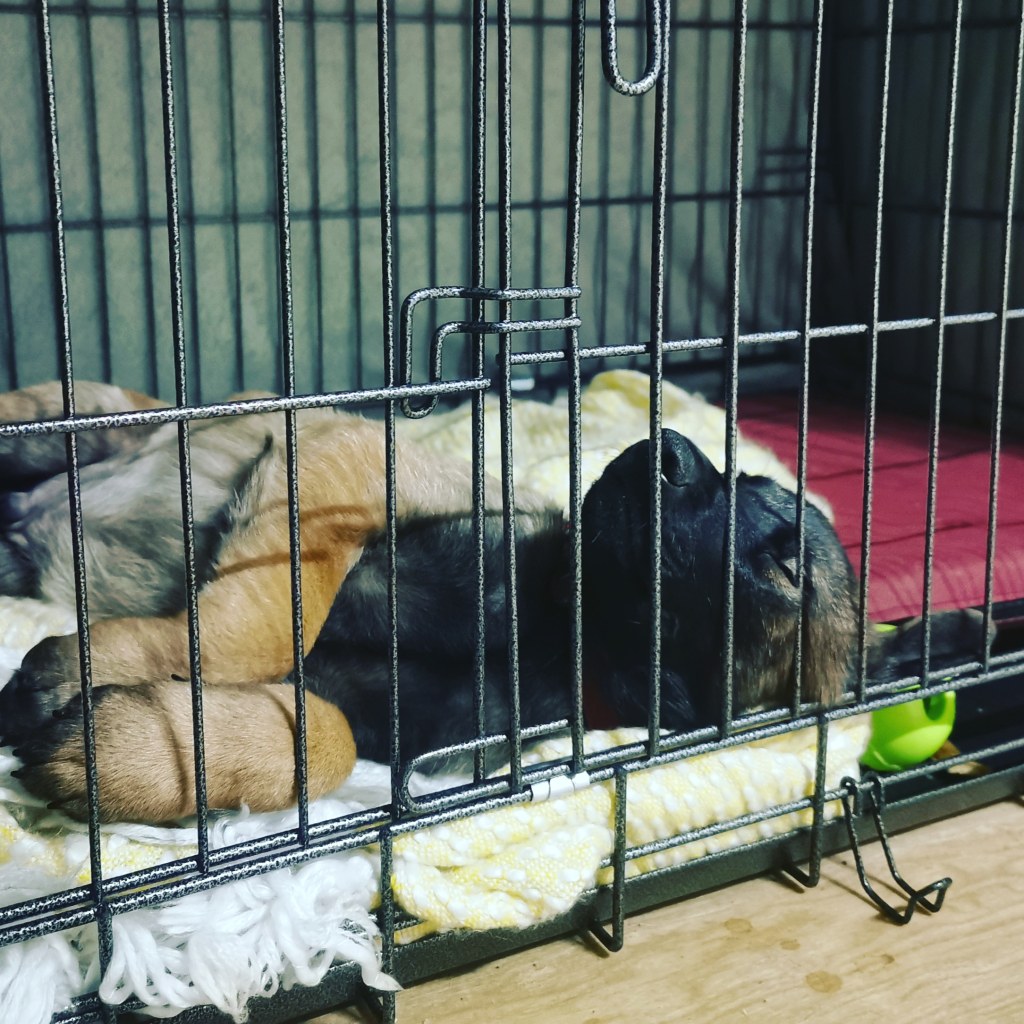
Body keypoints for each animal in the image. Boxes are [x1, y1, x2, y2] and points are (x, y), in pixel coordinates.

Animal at [0, 381, 984, 823]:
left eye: (787, 568)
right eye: (738, 478)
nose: (663, 450)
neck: (554, 623)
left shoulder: (388, 724)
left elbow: (326, 733)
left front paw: (127, 749)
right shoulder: (334, 469)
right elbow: (260, 631)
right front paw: (106, 692)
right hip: (91, 420)